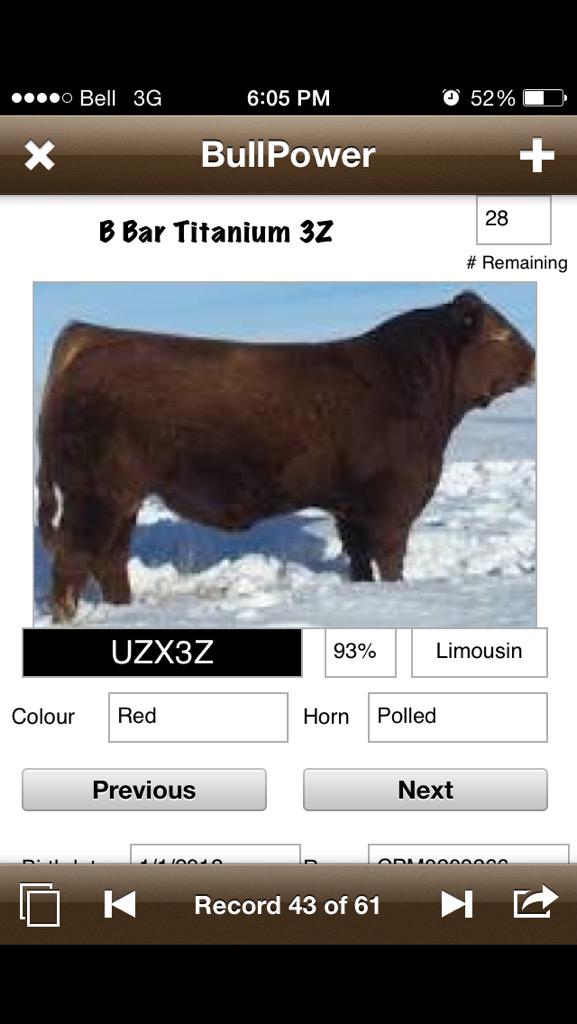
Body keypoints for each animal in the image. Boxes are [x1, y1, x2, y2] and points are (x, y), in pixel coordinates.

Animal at [37, 291, 535, 622]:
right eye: (501, 334)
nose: (533, 362)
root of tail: (92, 335)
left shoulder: (351, 508)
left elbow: (359, 560)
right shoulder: (393, 504)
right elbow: (390, 560)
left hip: (123, 497)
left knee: (110, 559)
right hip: (95, 493)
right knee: (73, 560)